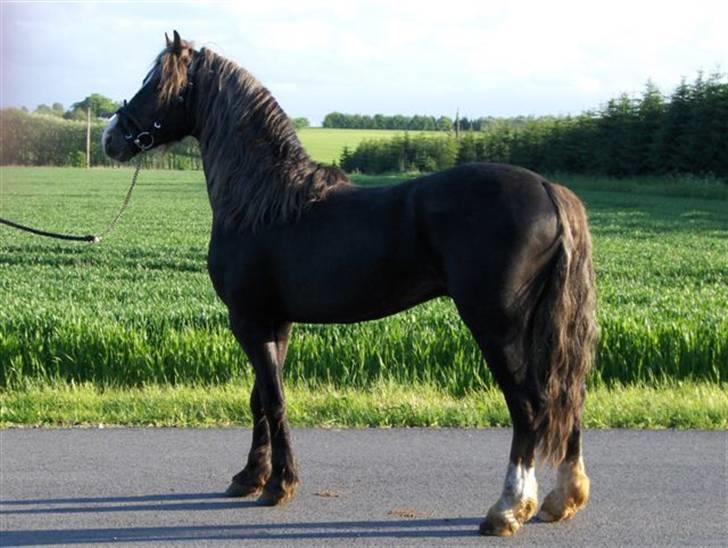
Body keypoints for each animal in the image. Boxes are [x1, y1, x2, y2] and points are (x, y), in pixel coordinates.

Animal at [103, 31, 597, 537]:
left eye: (156, 84)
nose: (111, 138)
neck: (263, 202)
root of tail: (547, 189)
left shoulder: (248, 320)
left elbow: (274, 400)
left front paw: (279, 486)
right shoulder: (275, 323)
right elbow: (260, 399)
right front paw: (250, 477)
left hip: (497, 326)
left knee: (529, 405)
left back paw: (508, 509)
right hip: (542, 326)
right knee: (568, 394)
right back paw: (562, 498)